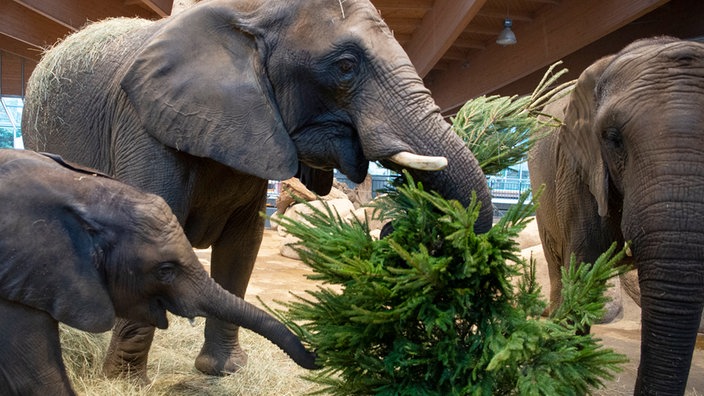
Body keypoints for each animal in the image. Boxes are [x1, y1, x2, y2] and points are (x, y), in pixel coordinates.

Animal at [23, 0, 496, 382]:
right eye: (345, 66)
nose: (392, 230)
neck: (254, 12)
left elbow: (242, 244)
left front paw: (224, 371)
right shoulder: (143, 127)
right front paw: (124, 383)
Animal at [532, 35, 700, 394]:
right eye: (613, 139)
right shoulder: (578, 172)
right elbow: (582, 272)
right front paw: (571, 371)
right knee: (555, 261)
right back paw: (553, 322)